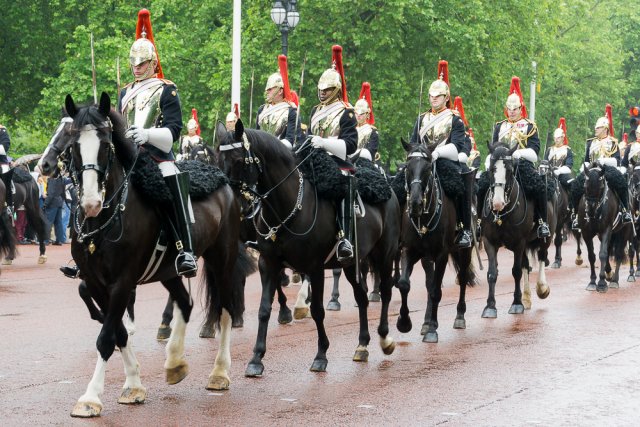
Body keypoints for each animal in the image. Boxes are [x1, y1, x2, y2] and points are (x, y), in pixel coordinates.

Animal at [59, 93, 250, 418]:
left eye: (106, 144)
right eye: (74, 145)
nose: (91, 203)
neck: (107, 218)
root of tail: (222, 178)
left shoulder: (123, 282)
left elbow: (106, 338)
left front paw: (91, 398)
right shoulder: (97, 283)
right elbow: (119, 332)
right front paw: (134, 386)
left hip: (221, 260)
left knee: (225, 309)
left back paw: (219, 373)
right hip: (168, 271)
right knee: (185, 302)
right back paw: (174, 363)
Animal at [219, 119, 400, 374]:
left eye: (238, 160)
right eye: (217, 158)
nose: (234, 207)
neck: (287, 207)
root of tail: (388, 187)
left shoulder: (314, 267)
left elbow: (317, 310)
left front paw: (321, 355)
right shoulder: (268, 263)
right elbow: (264, 309)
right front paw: (256, 358)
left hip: (384, 254)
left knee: (384, 291)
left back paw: (385, 339)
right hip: (351, 263)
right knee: (362, 297)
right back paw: (362, 345)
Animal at [396, 142, 476, 342]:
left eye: (427, 169)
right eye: (408, 167)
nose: (415, 203)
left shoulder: (441, 255)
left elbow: (435, 291)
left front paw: (432, 329)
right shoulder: (409, 250)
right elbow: (404, 284)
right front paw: (404, 323)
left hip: (464, 250)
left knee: (462, 278)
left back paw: (459, 316)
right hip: (427, 257)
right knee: (429, 282)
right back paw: (425, 322)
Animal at [480, 145, 552, 318]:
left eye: (510, 170)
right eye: (491, 169)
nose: (497, 203)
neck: (502, 215)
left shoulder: (519, 243)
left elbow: (516, 271)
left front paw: (516, 304)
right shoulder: (489, 242)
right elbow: (492, 273)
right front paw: (490, 306)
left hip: (544, 238)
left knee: (542, 256)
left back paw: (541, 288)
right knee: (526, 264)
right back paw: (526, 297)